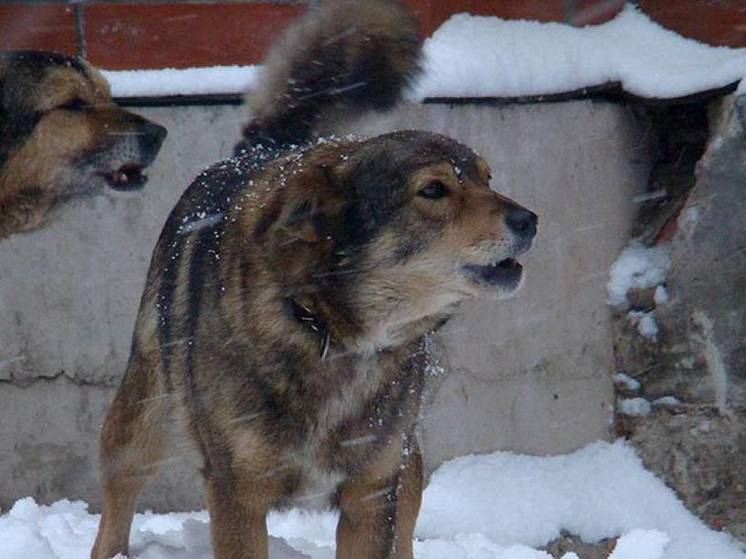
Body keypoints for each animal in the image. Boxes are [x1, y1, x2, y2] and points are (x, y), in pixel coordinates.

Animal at [91, 2, 536, 556]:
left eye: (488, 179)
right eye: (433, 190)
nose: (530, 220)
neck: (329, 334)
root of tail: (260, 150)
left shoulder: (373, 491)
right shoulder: (236, 491)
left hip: (406, 460)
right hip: (141, 421)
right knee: (117, 502)